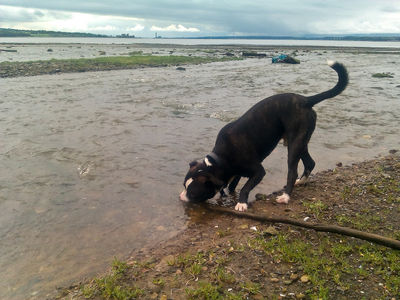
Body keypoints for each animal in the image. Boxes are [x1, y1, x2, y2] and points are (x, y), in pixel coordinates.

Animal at [180, 61, 348, 211]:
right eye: (183, 185)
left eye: (193, 193)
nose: (181, 197)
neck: (221, 159)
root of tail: (306, 100)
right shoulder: (236, 173)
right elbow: (233, 186)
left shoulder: (258, 172)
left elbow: (245, 187)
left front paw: (241, 203)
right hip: (300, 141)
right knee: (310, 163)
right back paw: (301, 181)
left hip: (295, 143)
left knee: (292, 171)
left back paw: (286, 196)